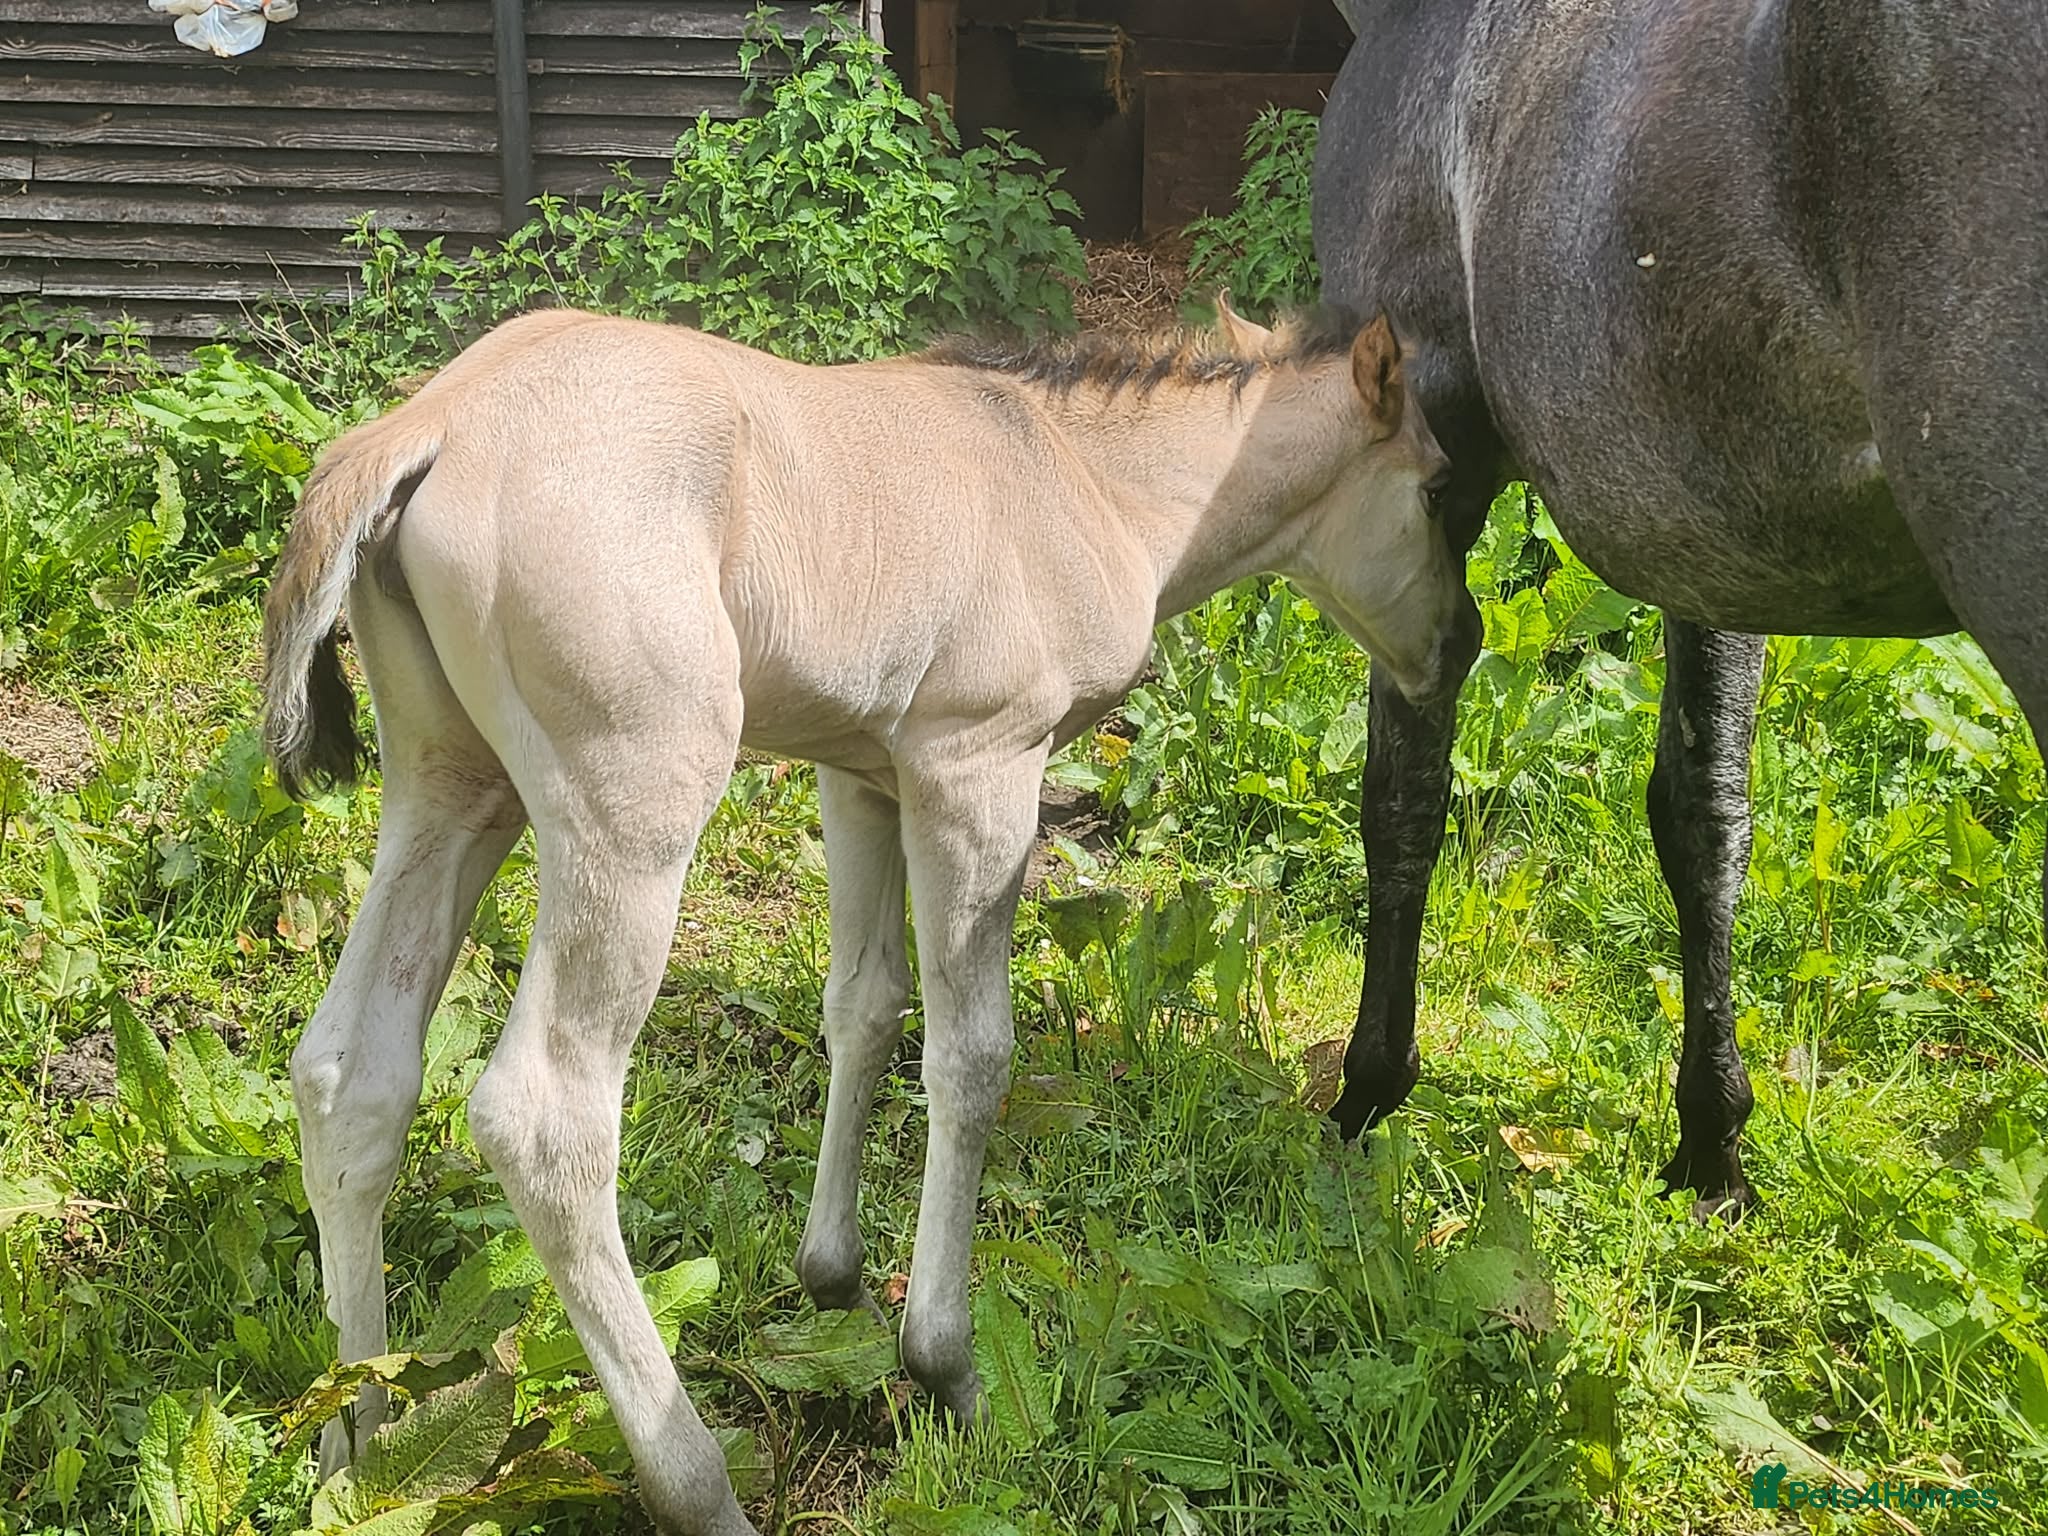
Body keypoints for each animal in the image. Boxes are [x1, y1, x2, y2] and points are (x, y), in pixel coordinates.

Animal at [262, 303, 1477, 1535]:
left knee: (349, 1075)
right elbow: (969, 1059)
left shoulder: (859, 779)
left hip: (452, 785)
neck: (1080, 475)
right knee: (545, 1118)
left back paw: (356, 1438)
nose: (1463, 644)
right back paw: (695, 1481)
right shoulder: (976, 771)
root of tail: (429, 423)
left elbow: (864, 1008)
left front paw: (832, 1281)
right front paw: (943, 1363)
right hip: (632, 804)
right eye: (1437, 489)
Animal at [1311, 0, 2047, 1218]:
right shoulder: (1712, 536)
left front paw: (1367, 1093)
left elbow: (1400, 797)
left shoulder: (1427, 455)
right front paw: (1712, 1147)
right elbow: (1703, 815)